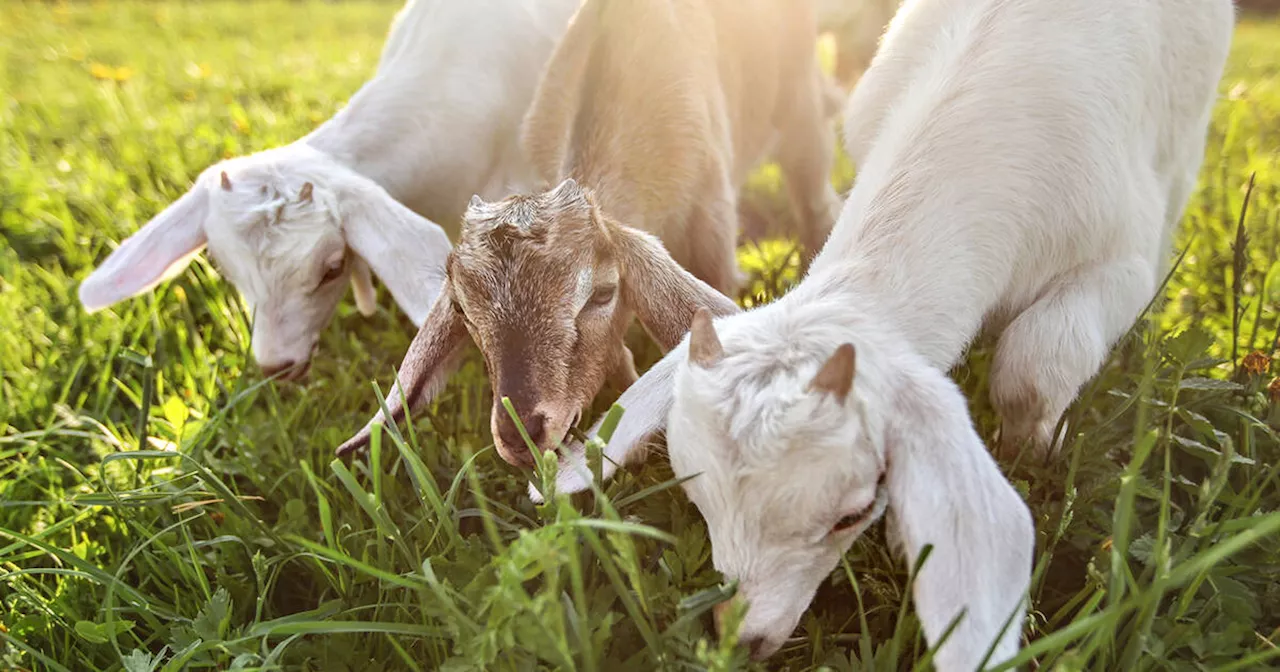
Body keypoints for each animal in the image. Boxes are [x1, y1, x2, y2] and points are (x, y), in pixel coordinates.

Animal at [535, 0, 1233, 660]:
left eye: (852, 514)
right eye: (697, 495)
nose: (744, 637)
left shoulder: (1124, 256)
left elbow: (1033, 367)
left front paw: (1035, 451)